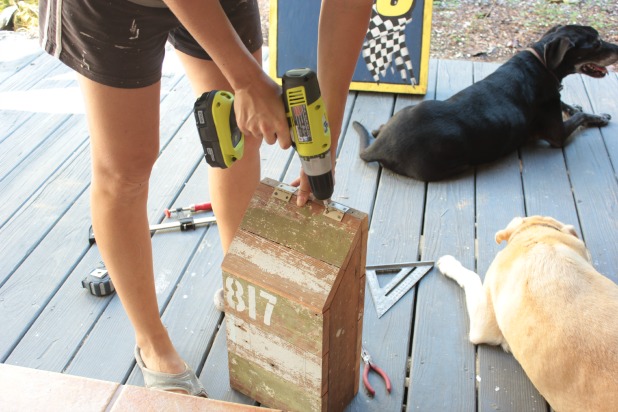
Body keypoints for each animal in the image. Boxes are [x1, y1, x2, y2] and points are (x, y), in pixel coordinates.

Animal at [354, 25, 616, 181]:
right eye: (596, 43)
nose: (617, 48)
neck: (542, 62)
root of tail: (380, 147)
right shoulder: (557, 135)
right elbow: (579, 117)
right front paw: (599, 117)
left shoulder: (555, 96)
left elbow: (569, 105)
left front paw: (580, 108)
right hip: (452, 162)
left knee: (378, 128)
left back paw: (377, 129)